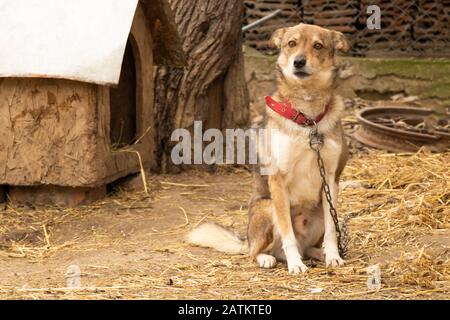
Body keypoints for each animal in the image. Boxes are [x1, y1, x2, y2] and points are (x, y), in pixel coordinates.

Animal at [188, 22, 350, 274]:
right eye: (291, 43)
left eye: (318, 45)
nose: (299, 62)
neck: (307, 118)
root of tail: (247, 239)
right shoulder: (278, 180)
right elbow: (287, 233)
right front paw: (295, 265)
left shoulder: (331, 179)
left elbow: (332, 231)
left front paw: (333, 256)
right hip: (267, 207)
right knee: (257, 252)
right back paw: (267, 258)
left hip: (317, 212)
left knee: (306, 246)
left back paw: (318, 254)